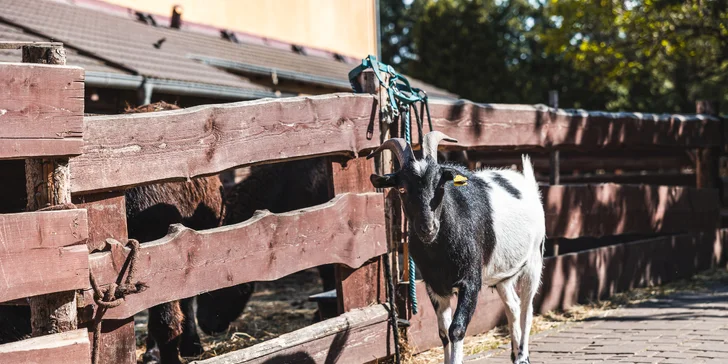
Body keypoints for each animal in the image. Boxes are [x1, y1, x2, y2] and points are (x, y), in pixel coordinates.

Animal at [370, 132, 544, 364]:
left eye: (441, 186)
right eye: (402, 188)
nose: (428, 228)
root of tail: (525, 181)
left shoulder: (470, 281)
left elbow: (457, 329)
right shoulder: (434, 286)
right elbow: (443, 332)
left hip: (534, 260)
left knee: (527, 307)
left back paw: (523, 356)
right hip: (502, 275)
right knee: (513, 305)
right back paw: (515, 355)